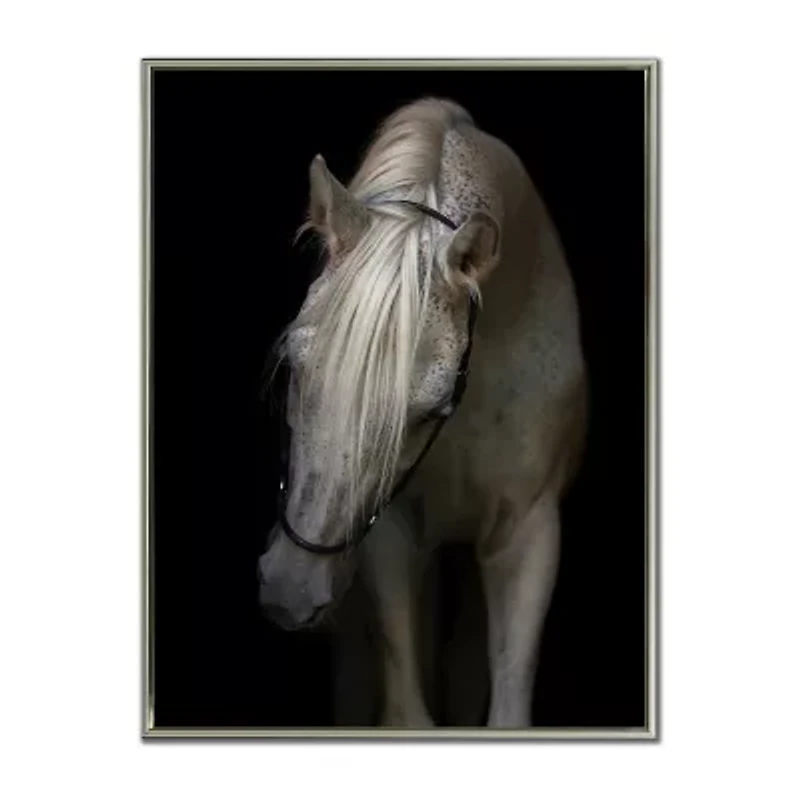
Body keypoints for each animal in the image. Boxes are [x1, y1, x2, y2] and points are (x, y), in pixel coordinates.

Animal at [258, 97, 587, 728]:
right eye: (294, 364)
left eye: (431, 408)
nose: (290, 588)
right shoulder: (391, 533)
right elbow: (407, 710)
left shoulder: (528, 532)